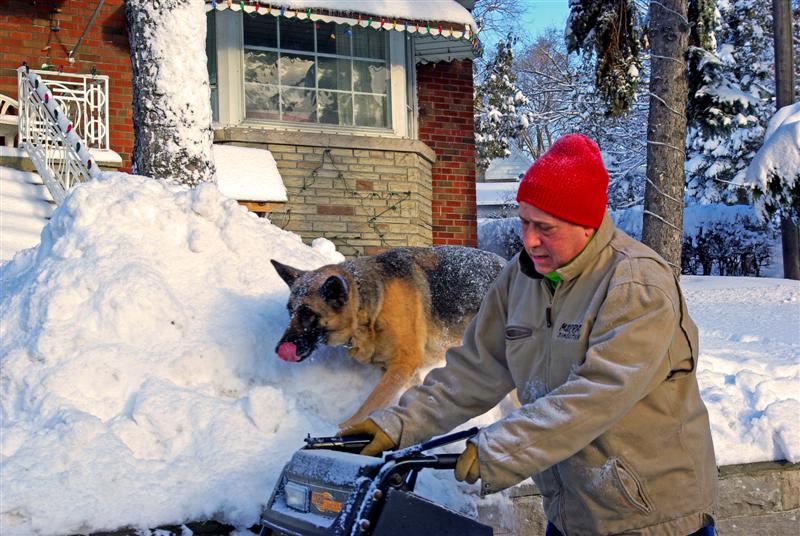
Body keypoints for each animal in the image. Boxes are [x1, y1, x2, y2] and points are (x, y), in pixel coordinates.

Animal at [272, 246, 504, 428]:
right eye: (290, 311)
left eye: (308, 314)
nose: (278, 349)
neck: (368, 306)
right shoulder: (400, 371)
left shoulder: (403, 364)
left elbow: (371, 403)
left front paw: (344, 429)